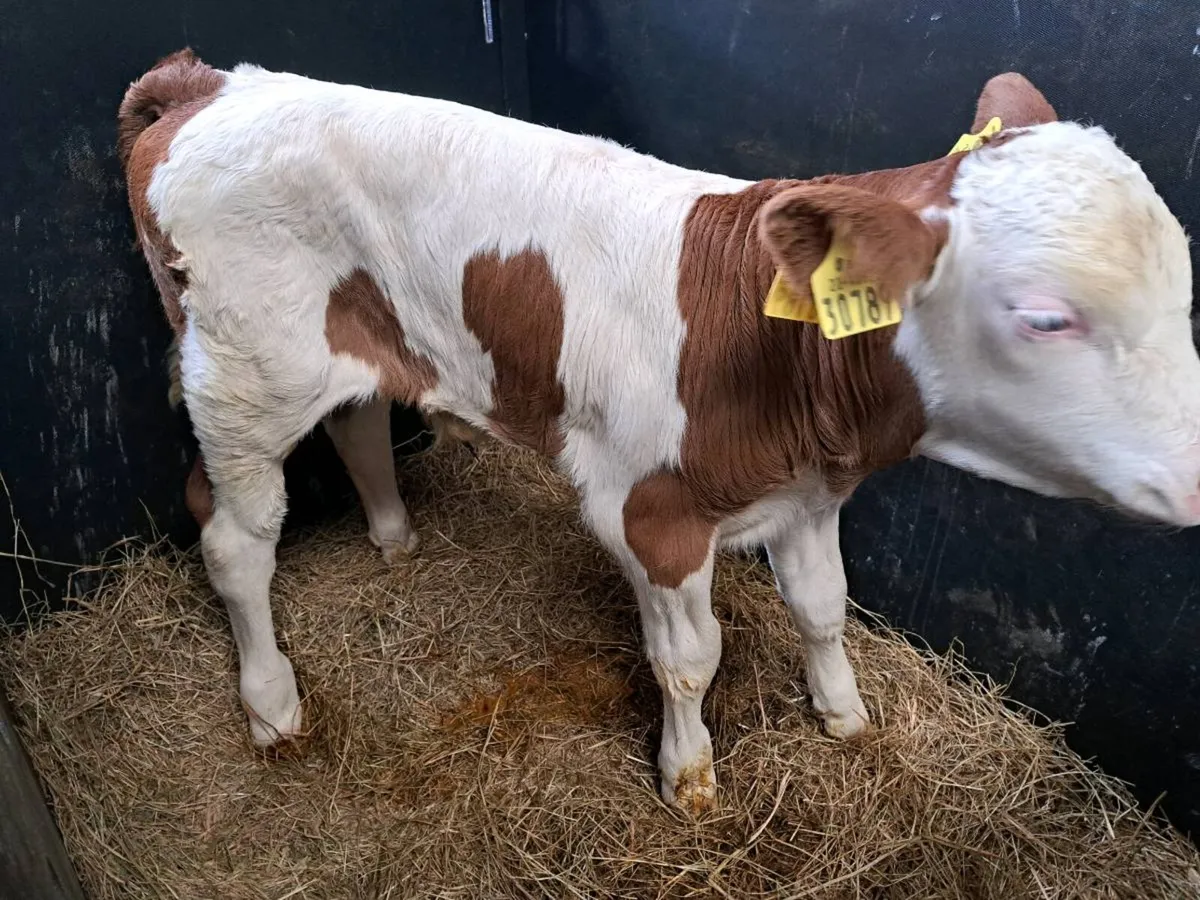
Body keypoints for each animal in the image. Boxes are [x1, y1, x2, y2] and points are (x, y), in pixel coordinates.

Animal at [118, 50, 1200, 814]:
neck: (769, 347)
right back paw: (272, 705)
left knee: (359, 424)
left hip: (345, 340)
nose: (1195, 477)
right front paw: (690, 780)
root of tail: (211, 83)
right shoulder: (650, 510)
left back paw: (393, 536)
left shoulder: (811, 493)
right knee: (235, 537)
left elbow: (824, 608)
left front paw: (845, 716)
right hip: (243, 370)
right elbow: (690, 659)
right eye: (1046, 318)